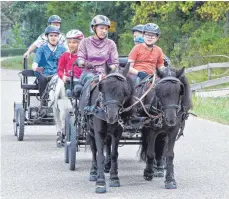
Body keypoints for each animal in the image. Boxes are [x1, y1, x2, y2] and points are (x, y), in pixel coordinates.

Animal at [78, 63, 132, 193]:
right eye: (102, 88)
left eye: (125, 91)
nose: (111, 117)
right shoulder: (98, 132)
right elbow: (99, 155)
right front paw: (100, 182)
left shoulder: (117, 132)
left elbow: (113, 154)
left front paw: (114, 177)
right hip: (89, 131)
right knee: (94, 151)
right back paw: (94, 172)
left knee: (107, 146)